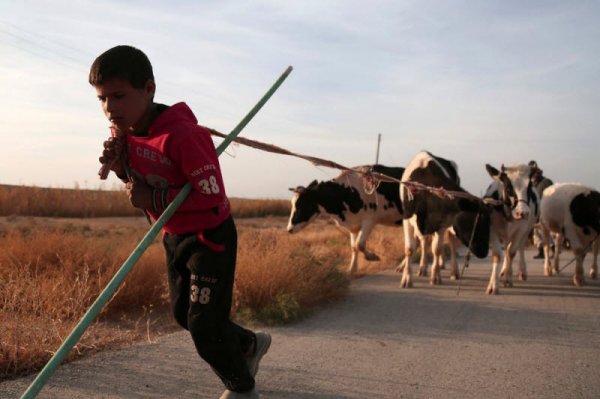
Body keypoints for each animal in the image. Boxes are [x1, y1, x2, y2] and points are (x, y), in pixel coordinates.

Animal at [396, 151, 490, 288]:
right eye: (476, 221)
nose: (484, 252)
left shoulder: (442, 222)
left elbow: (437, 249)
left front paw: (435, 277)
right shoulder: (407, 219)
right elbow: (409, 248)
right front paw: (407, 278)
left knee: (450, 243)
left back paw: (453, 271)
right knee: (424, 242)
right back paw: (422, 268)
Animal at [482, 164, 540, 296]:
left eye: (529, 188)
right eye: (508, 187)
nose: (523, 213)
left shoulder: (521, 229)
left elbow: (512, 252)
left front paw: (507, 279)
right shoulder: (492, 229)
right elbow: (498, 254)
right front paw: (493, 285)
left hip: (527, 229)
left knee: (519, 247)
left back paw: (520, 272)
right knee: (507, 248)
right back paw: (504, 271)